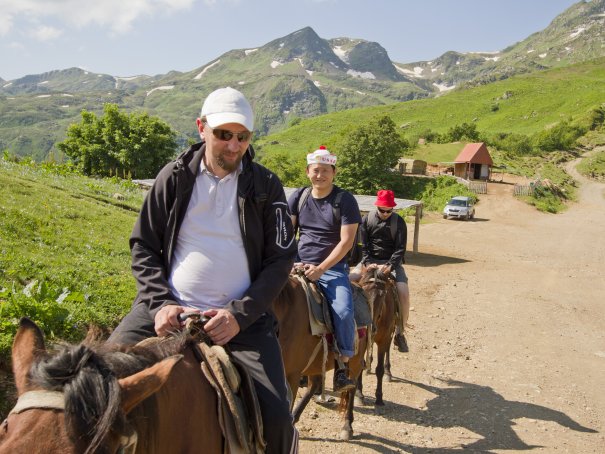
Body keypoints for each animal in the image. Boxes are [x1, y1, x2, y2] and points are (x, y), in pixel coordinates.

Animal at [272, 274, 366, 442]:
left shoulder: (292, 374)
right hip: (316, 363)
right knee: (314, 384)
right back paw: (295, 418)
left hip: (355, 362)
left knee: (352, 387)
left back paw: (347, 427)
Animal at [354, 268, 396, 410]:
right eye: (363, 293)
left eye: (382, 295)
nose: (371, 327)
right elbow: (359, 366)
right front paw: (359, 395)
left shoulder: (383, 340)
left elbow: (379, 369)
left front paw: (379, 398)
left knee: (388, 349)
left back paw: (388, 373)